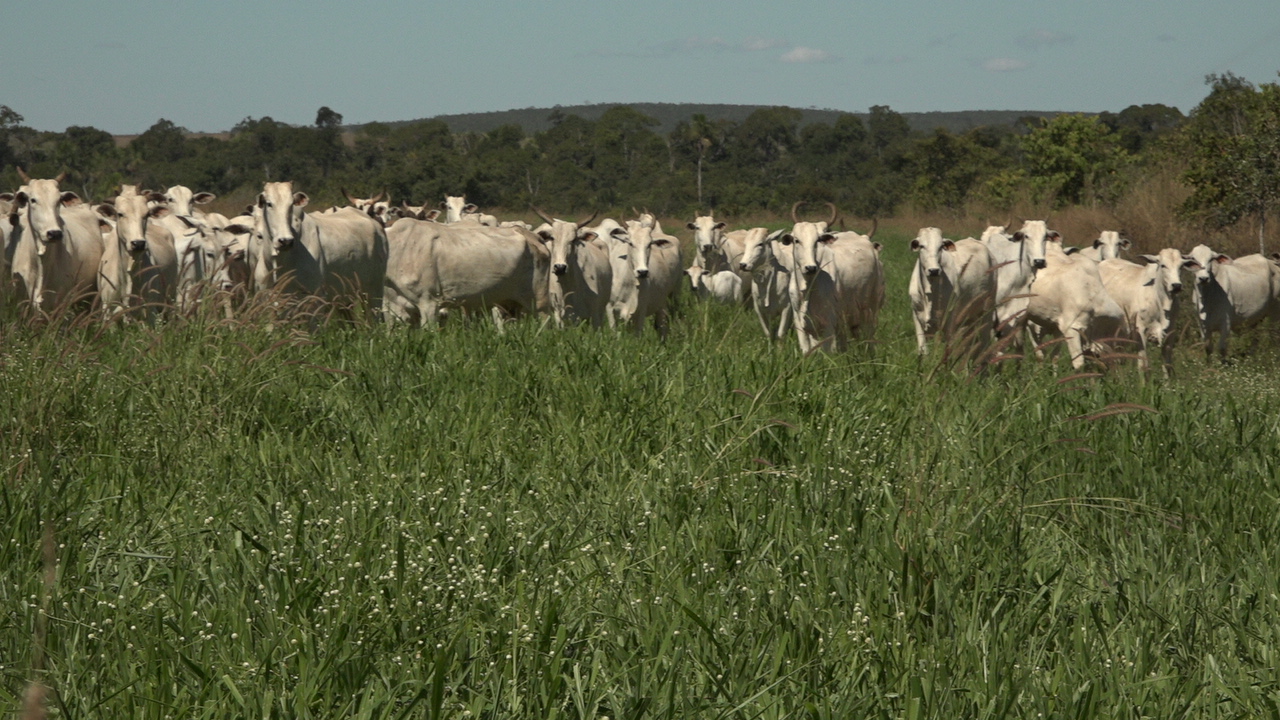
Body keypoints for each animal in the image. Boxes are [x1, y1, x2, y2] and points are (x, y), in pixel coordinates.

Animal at [783, 220, 885, 351]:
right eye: (796, 240)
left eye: (817, 240)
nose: (810, 267)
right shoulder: (801, 324)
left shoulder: (829, 323)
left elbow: (828, 351)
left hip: (871, 309)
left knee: (869, 337)